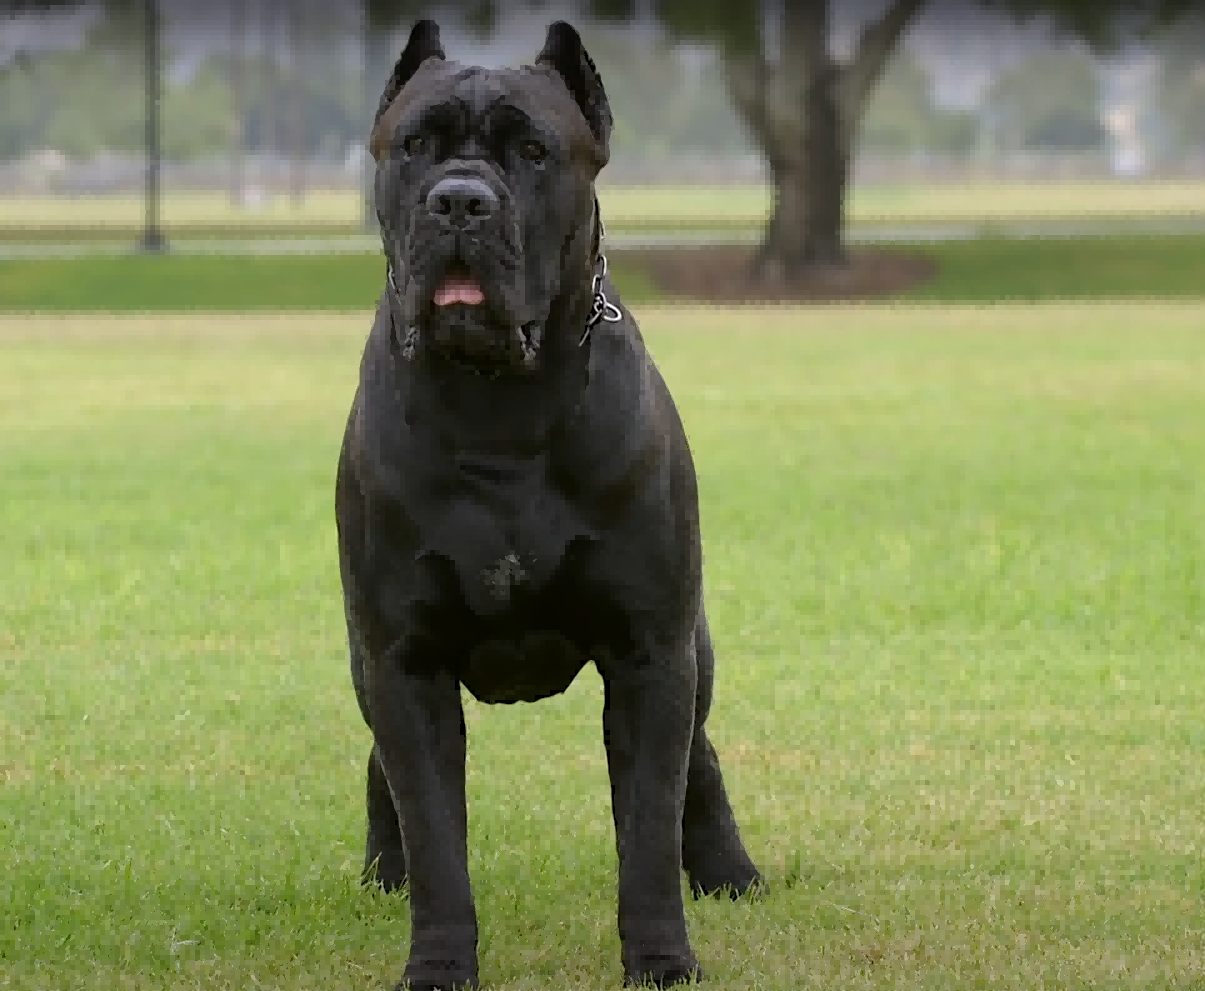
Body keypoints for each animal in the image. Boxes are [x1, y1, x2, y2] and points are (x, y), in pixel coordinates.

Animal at [334, 19, 756, 988]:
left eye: (532, 151)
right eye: (413, 146)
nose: (459, 201)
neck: (498, 406)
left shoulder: (649, 654)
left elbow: (647, 827)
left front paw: (661, 958)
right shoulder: (403, 662)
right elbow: (435, 835)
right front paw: (438, 963)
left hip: (695, 649)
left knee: (701, 760)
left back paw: (729, 869)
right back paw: (382, 869)